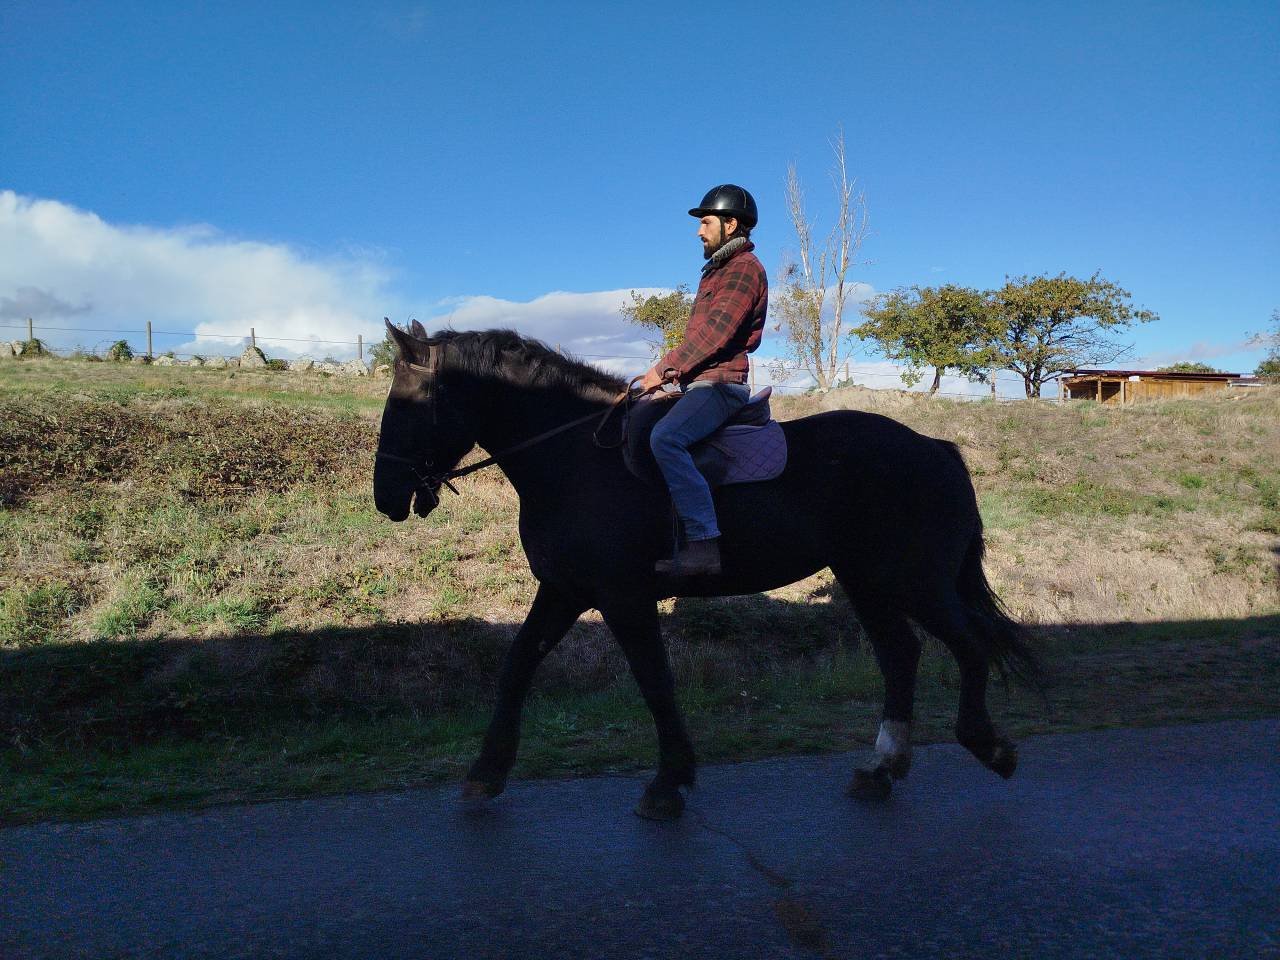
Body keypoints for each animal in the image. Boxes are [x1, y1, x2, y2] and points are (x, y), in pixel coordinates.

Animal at [373, 321, 1038, 820]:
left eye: (411, 404)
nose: (386, 497)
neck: (574, 461)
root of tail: (936, 449)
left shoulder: (622, 597)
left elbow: (654, 681)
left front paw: (669, 783)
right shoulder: (564, 590)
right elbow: (517, 667)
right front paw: (485, 774)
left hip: (915, 581)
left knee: (968, 646)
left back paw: (988, 747)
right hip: (868, 581)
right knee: (901, 654)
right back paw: (880, 770)